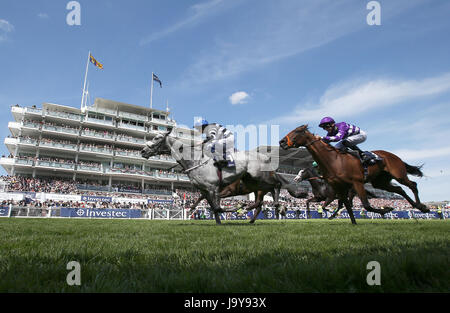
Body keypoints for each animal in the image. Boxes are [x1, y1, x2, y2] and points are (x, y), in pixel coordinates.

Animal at [278, 124, 428, 224]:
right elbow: (314, 202)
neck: (334, 160)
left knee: (412, 185)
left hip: (397, 174)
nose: (282, 141)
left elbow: (365, 205)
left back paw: (422, 206)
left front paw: (385, 210)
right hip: (380, 182)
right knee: (399, 189)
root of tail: (392, 155)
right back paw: (418, 206)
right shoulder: (336, 189)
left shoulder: (352, 185)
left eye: (297, 131)